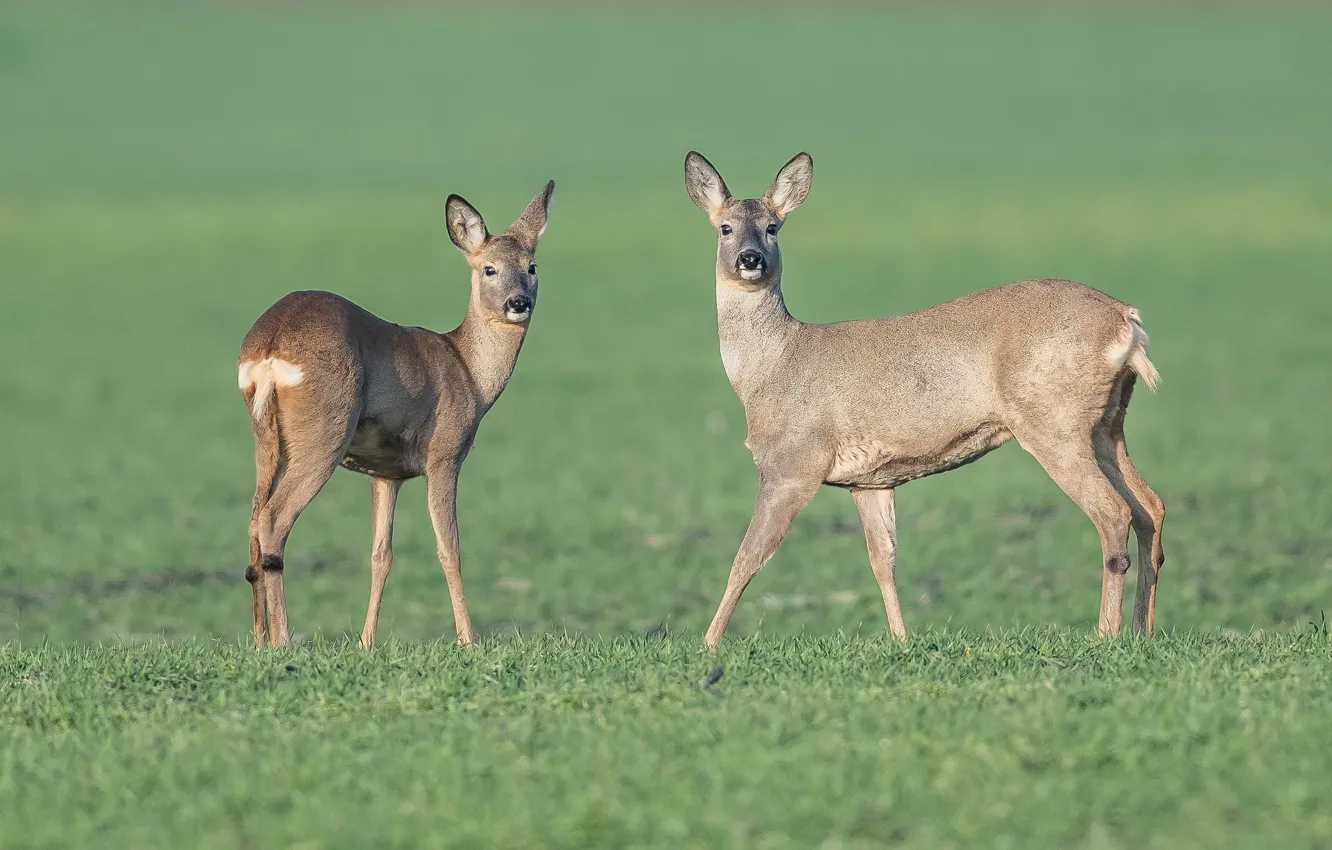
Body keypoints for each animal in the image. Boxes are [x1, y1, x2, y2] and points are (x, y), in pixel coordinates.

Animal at [236, 181, 554, 648]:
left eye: (531, 266)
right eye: (489, 269)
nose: (519, 303)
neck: (469, 372)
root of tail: (269, 345)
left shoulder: (386, 473)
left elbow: (380, 554)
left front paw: (366, 643)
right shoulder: (444, 455)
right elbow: (449, 548)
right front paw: (468, 640)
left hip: (266, 438)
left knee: (254, 520)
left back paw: (259, 640)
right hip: (324, 432)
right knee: (274, 520)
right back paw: (284, 642)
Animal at [683, 151, 1166, 648]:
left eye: (773, 227)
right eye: (725, 227)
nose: (750, 259)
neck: (771, 368)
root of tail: (1125, 320)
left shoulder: (792, 463)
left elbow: (746, 559)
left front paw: (707, 643)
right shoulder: (868, 481)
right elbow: (883, 561)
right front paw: (901, 639)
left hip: (1053, 422)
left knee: (1113, 513)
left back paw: (1106, 635)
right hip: (1107, 423)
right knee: (1150, 508)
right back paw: (1142, 632)